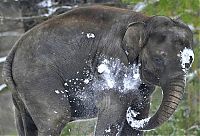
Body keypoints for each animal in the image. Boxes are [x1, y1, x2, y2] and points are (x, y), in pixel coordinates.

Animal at [2, 5, 194, 136]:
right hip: (37, 78)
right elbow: (111, 116)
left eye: (189, 62)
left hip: (21, 91)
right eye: (158, 59)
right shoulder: (114, 63)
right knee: (56, 118)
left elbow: (136, 120)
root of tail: (13, 50)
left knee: (27, 125)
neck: (145, 20)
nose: (130, 113)